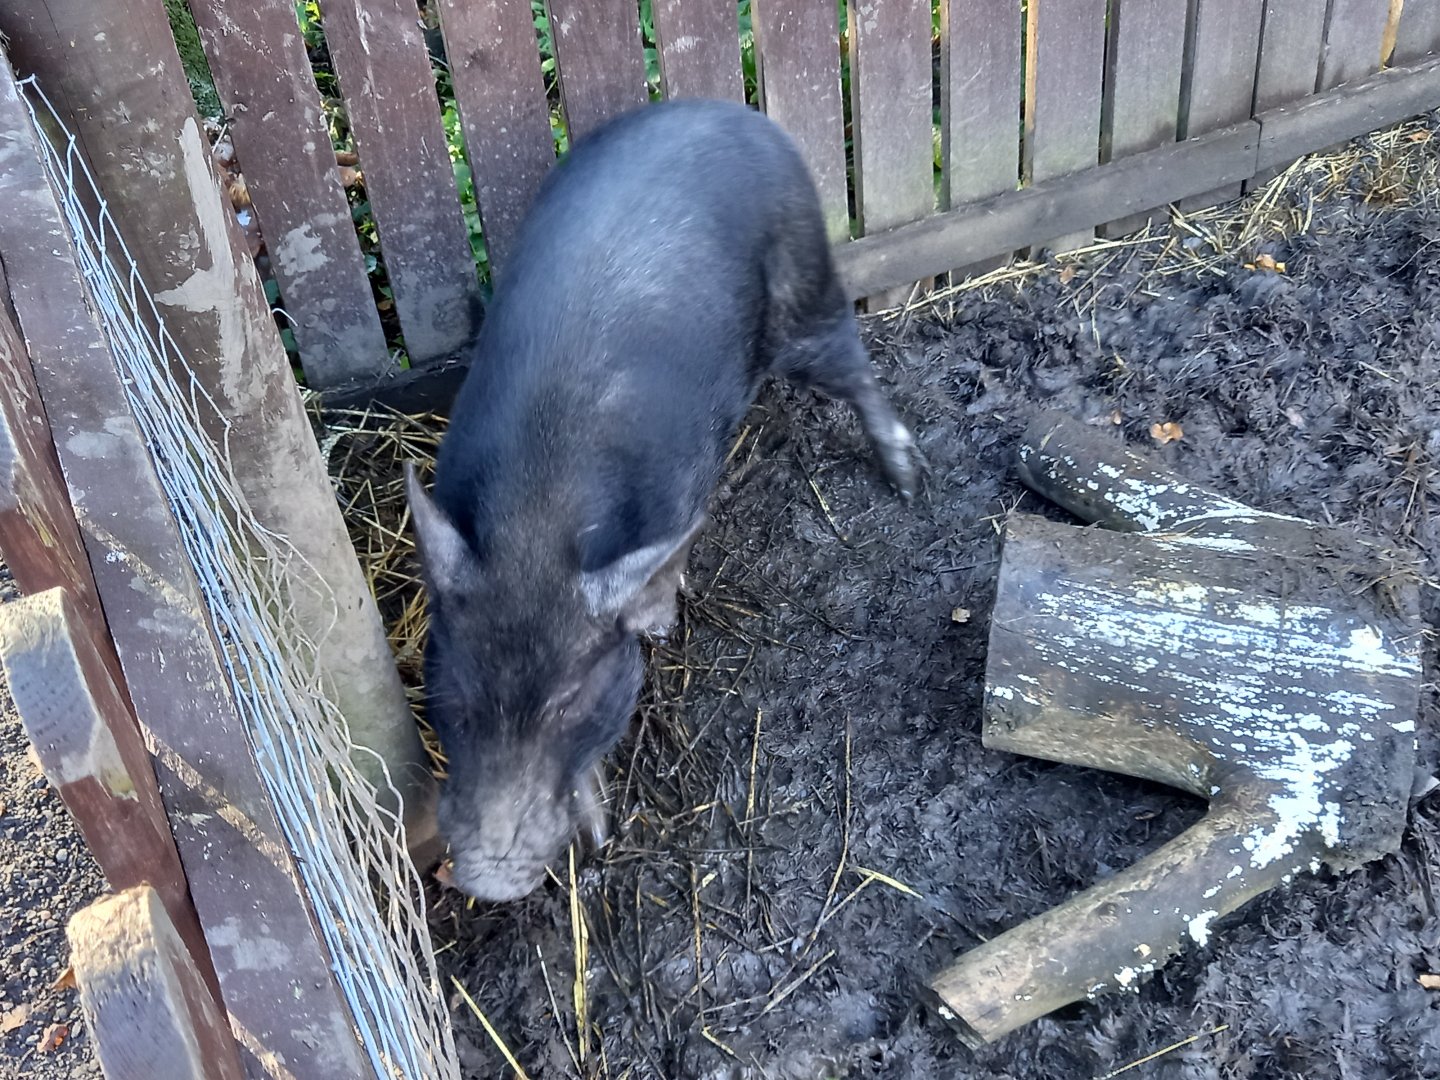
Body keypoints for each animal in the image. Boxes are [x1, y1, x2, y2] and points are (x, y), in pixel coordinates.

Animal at [406, 98, 916, 901]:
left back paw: (908, 481)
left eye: (568, 706)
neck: (538, 522)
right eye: (457, 697)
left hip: (804, 285)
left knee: (852, 363)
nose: (486, 879)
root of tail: (736, 113)